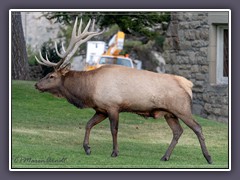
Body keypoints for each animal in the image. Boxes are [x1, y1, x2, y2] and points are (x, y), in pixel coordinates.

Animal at [35, 17, 212, 164]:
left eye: (51, 76)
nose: (37, 85)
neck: (89, 91)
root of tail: (188, 85)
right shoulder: (101, 109)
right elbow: (88, 124)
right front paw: (87, 148)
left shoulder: (113, 106)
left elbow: (114, 130)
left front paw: (114, 152)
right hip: (169, 113)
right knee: (178, 131)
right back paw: (165, 156)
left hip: (182, 109)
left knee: (197, 127)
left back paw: (208, 157)